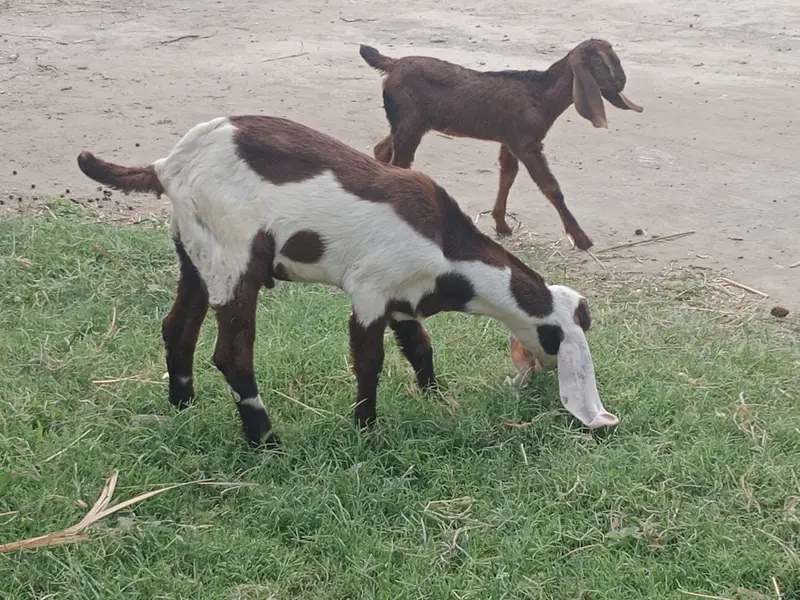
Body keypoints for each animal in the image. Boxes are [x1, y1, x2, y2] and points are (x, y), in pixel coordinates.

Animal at [76, 115, 617, 448]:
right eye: (559, 337)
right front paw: (365, 428)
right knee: (231, 353)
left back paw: (183, 407)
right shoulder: (371, 290)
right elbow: (368, 362)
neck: (447, 250)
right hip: (235, 257)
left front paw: (436, 396)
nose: (539, 374)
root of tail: (170, 164)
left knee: (177, 329)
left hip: (193, 250)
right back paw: (265, 439)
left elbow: (420, 348)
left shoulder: (403, 299)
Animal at [359, 39, 643, 250]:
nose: (622, 82)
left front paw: (502, 226)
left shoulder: (510, 139)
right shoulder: (526, 143)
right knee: (400, 163)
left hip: (407, 122)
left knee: (382, 151)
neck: (541, 96)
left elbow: (507, 175)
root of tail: (394, 64)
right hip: (409, 122)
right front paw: (582, 239)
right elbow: (551, 188)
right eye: (599, 62)